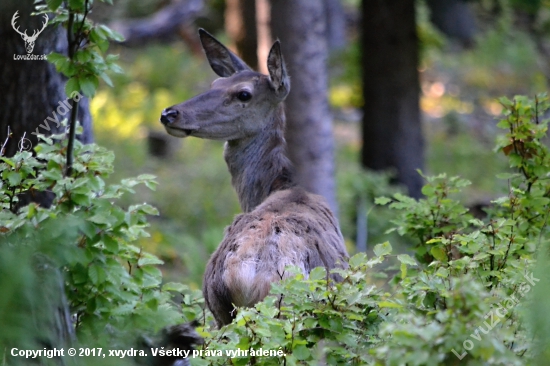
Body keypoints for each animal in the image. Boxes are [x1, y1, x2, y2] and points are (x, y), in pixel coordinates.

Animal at [161, 28, 350, 326]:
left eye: (243, 94)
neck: (280, 186)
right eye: (215, 83)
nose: (169, 113)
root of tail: (247, 274)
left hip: (218, 307)